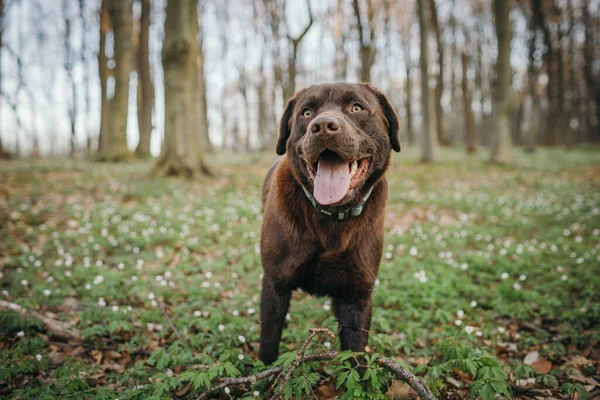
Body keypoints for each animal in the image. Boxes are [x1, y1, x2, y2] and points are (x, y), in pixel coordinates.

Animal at [258, 83, 398, 364]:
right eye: (306, 113)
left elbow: (356, 354)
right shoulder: (274, 283)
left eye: (357, 108)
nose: (323, 126)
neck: (331, 217)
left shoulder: (357, 293)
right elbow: (269, 342)